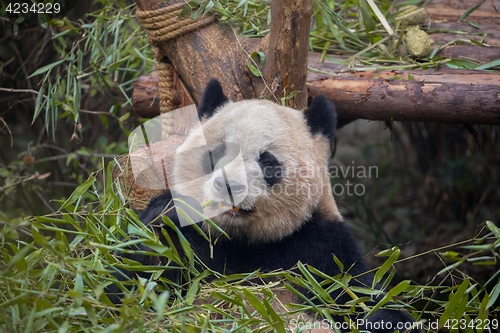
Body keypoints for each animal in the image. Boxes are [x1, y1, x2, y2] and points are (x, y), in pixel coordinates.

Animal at [117, 79, 418, 330]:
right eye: (217, 153)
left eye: (267, 161)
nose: (229, 186)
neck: (246, 240)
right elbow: (128, 286)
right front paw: (161, 224)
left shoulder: (321, 249)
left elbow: (359, 297)